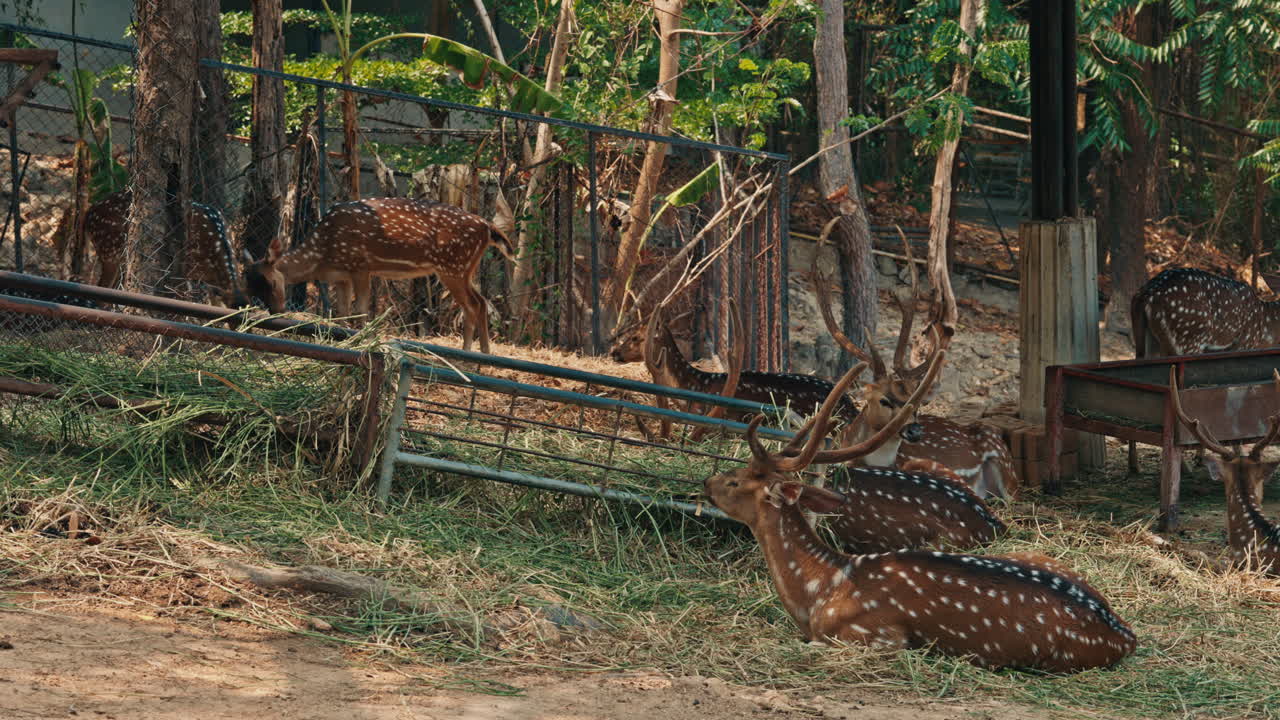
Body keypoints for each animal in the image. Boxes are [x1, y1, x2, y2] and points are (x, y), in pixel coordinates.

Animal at [242, 197, 515, 354]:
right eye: (250, 287)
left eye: (271, 281)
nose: (276, 311)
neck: (323, 254)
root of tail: (488, 227)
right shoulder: (341, 275)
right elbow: (342, 313)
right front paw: (341, 340)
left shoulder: (361, 266)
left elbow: (361, 310)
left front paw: (361, 340)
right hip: (464, 268)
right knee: (479, 302)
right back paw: (477, 351)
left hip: (452, 266)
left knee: (473, 304)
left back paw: (474, 353)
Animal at [1128, 267, 1280, 473]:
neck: (1266, 330)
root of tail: (1145, 295)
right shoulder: (1243, 345)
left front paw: (1201, 456)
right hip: (1186, 340)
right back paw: (1183, 467)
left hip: (1145, 342)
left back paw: (1134, 465)